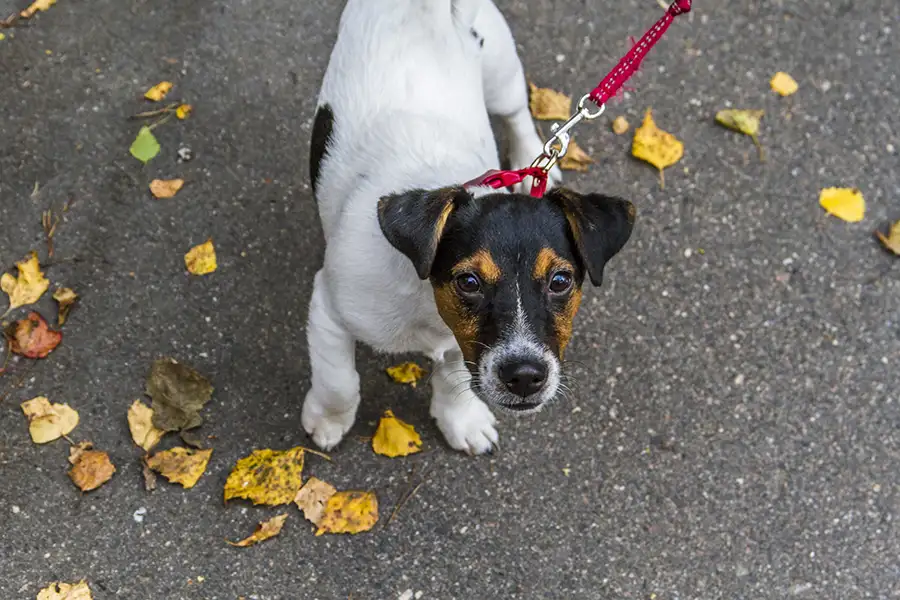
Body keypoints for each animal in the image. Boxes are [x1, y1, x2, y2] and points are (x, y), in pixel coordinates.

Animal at [302, 0, 632, 452]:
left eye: (561, 281)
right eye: (468, 282)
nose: (526, 377)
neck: (425, 299)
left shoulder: (463, 343)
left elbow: (454, 378)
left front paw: (461, 420)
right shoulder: (330, 311)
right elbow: (338, 380)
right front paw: (329, 419)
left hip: (500, 71)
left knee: (517, 112)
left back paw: (531, 159)